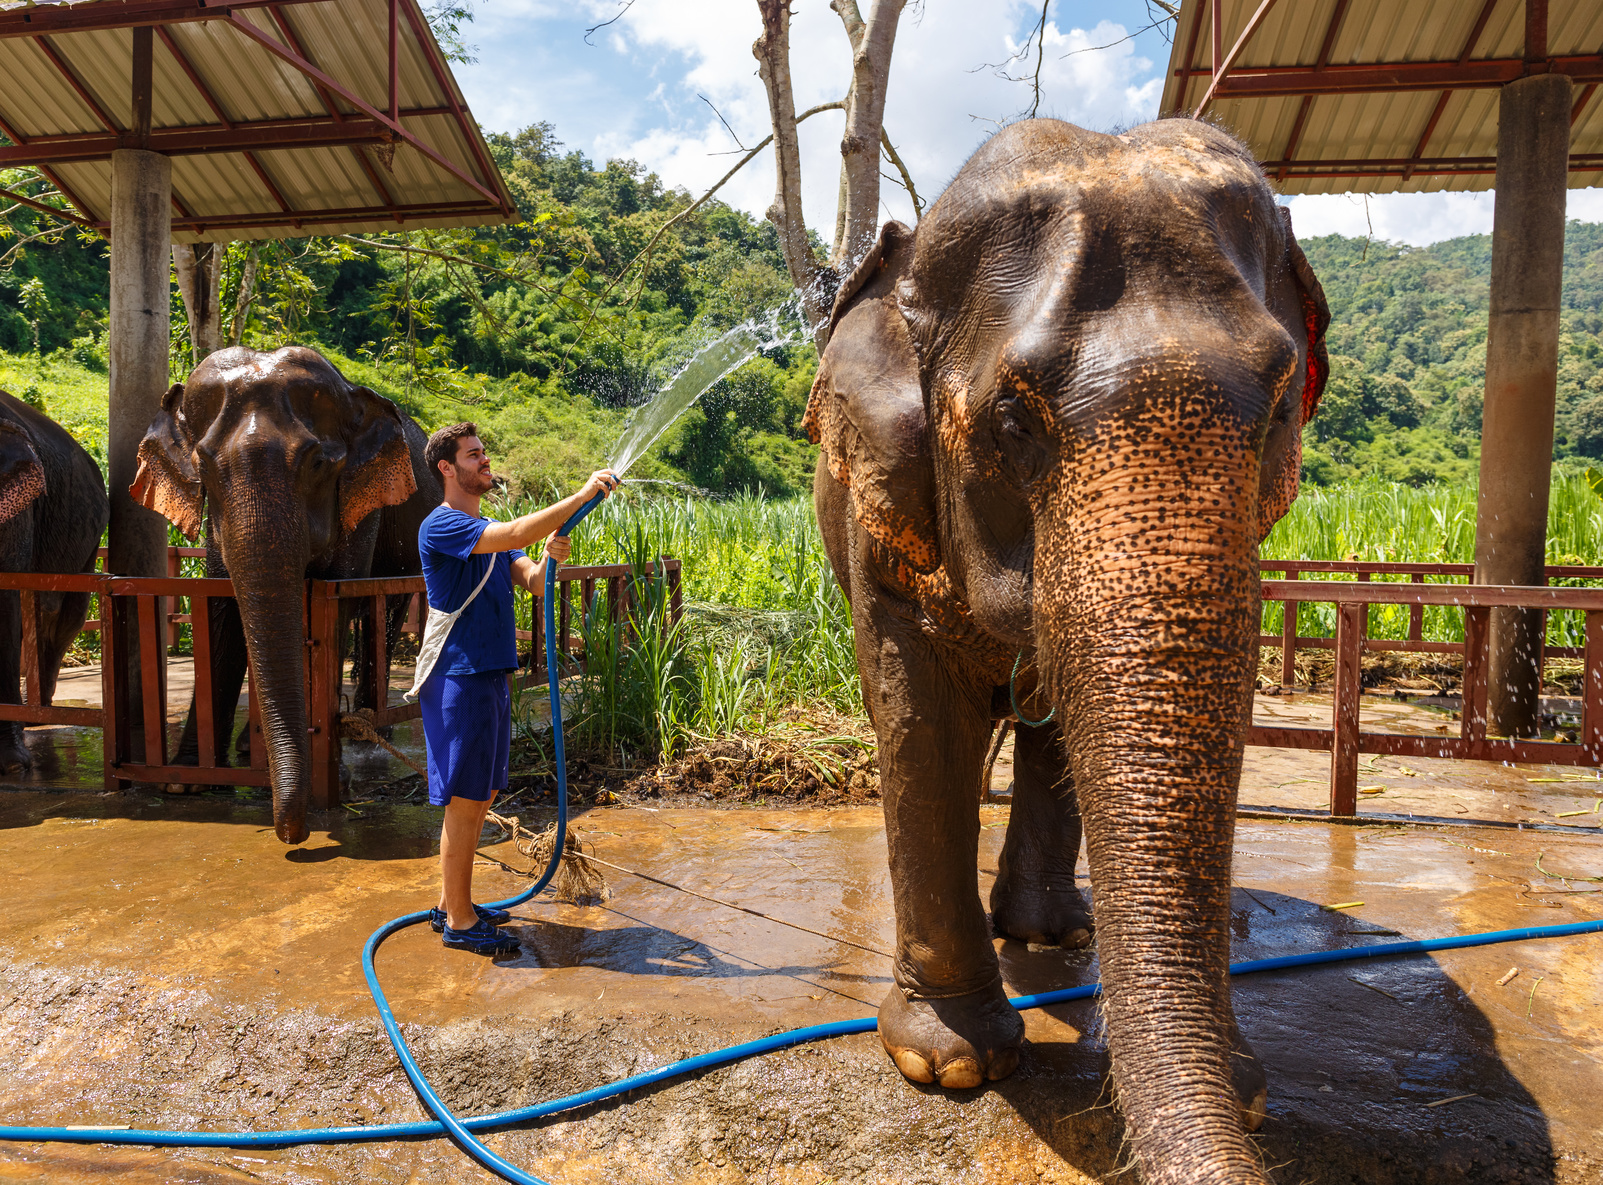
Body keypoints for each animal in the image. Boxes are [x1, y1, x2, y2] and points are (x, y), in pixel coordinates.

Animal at [131, 343, 432, 846]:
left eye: (318, 464)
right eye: (204, 466)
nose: (292, 836)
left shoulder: (358, 505)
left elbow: (335, 603)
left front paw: (334, 780)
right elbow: (223, 609)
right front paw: (184, 782)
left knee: (384, 613)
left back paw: (366, 729)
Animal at [807, 117, 1333, 1185]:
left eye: (1277, 410)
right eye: (1013, 420)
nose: (1246, 1107)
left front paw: (1240, 1087)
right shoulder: (880, 522)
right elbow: (919, 719)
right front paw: (952, 1064)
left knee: (1048, 728)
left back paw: (1051, 932)